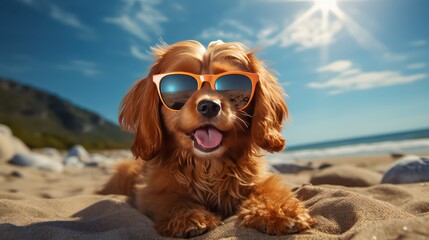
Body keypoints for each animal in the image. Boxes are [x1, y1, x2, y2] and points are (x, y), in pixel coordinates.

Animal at [99, 40, 314, 237]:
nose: (209, 106)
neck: (208, 165)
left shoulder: (258, 179)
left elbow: (268, 189)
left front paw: (279, 210)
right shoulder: (149, 190)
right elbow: (170, 199)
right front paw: (188, 216)